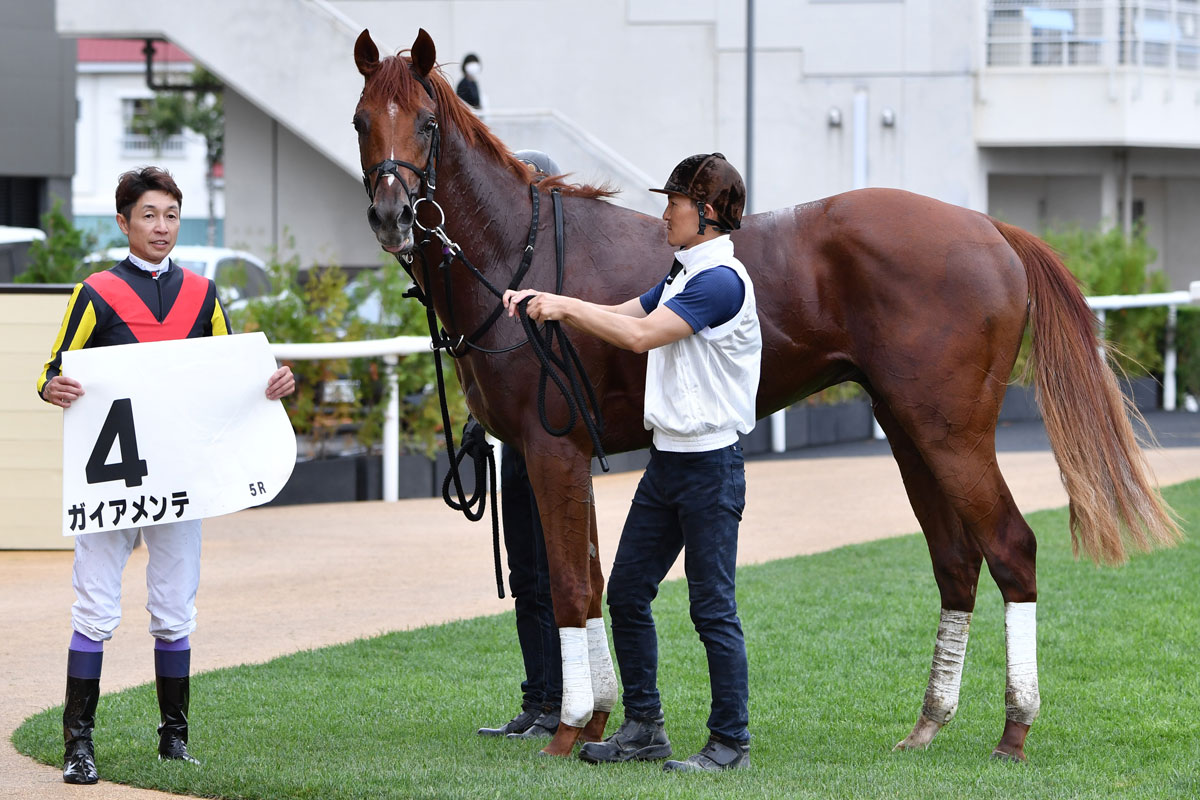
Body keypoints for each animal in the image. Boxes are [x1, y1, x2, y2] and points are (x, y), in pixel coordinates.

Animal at [351, 28, 1181, 761]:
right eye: (361, 119)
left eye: (427, 122)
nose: (393, 217)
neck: (517, 255)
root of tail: (990, 227)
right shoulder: (564, 454)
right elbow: (589, 584)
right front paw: (599, 721)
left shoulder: (553, 449)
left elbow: (567, 586)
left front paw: (569, 727)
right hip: (909, 429)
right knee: (954, 560)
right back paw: (928, 724)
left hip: (953, 433)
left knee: (1010, 547)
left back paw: (1014, 729)